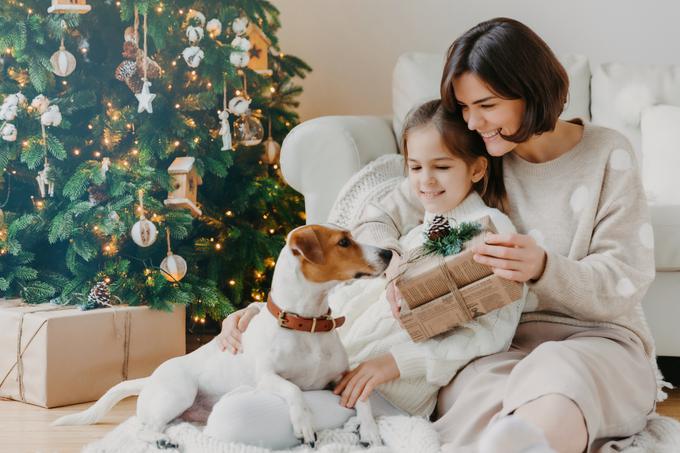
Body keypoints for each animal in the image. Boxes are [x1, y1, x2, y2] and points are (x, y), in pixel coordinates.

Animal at [54, 224, 394, 446]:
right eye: (344, 242)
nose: (389, 252)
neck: (307, 323)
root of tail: (150, 378)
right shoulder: (267, 377)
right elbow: (294, 390)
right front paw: (304, 426)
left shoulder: (342, 378)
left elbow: (363, 398)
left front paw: (369, 430)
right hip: (179, 393)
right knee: (141, 426)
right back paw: (160, 440)